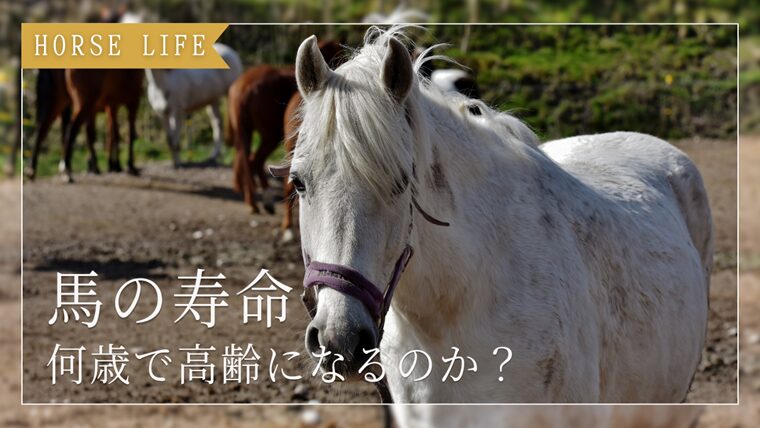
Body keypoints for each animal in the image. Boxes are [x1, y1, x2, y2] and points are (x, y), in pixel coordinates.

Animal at [228, 40, 343, 214]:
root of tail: (244, 87)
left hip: (245, 130)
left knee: (246, 158)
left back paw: (252, 201)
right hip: (270, 134)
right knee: (255, 161)